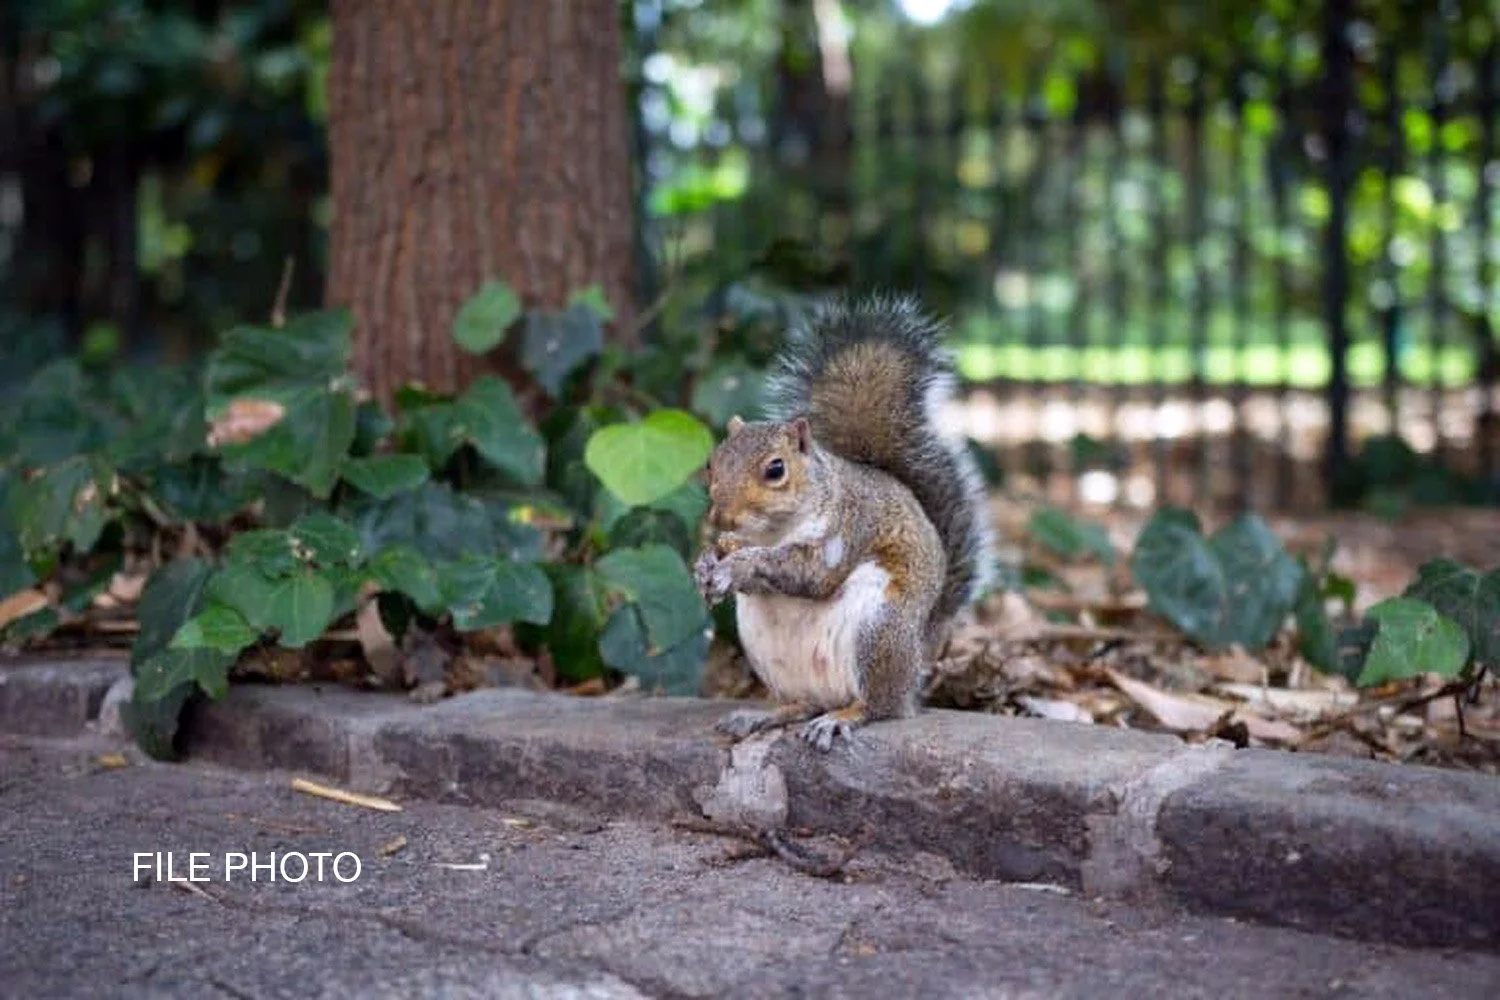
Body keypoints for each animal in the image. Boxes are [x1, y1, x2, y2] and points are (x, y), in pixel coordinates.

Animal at [693, 294, 994, 751]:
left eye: (776, 469)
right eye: (712, 462)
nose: (721, 514)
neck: (774, 530)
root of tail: (919, 659)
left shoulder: (848, 528)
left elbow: (808, 573)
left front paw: (739, 566)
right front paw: (707, 564)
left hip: (878, 631)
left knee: (878, 706)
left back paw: (841, 718)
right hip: (768, 652)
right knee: (803, 702)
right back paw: (764, 715)